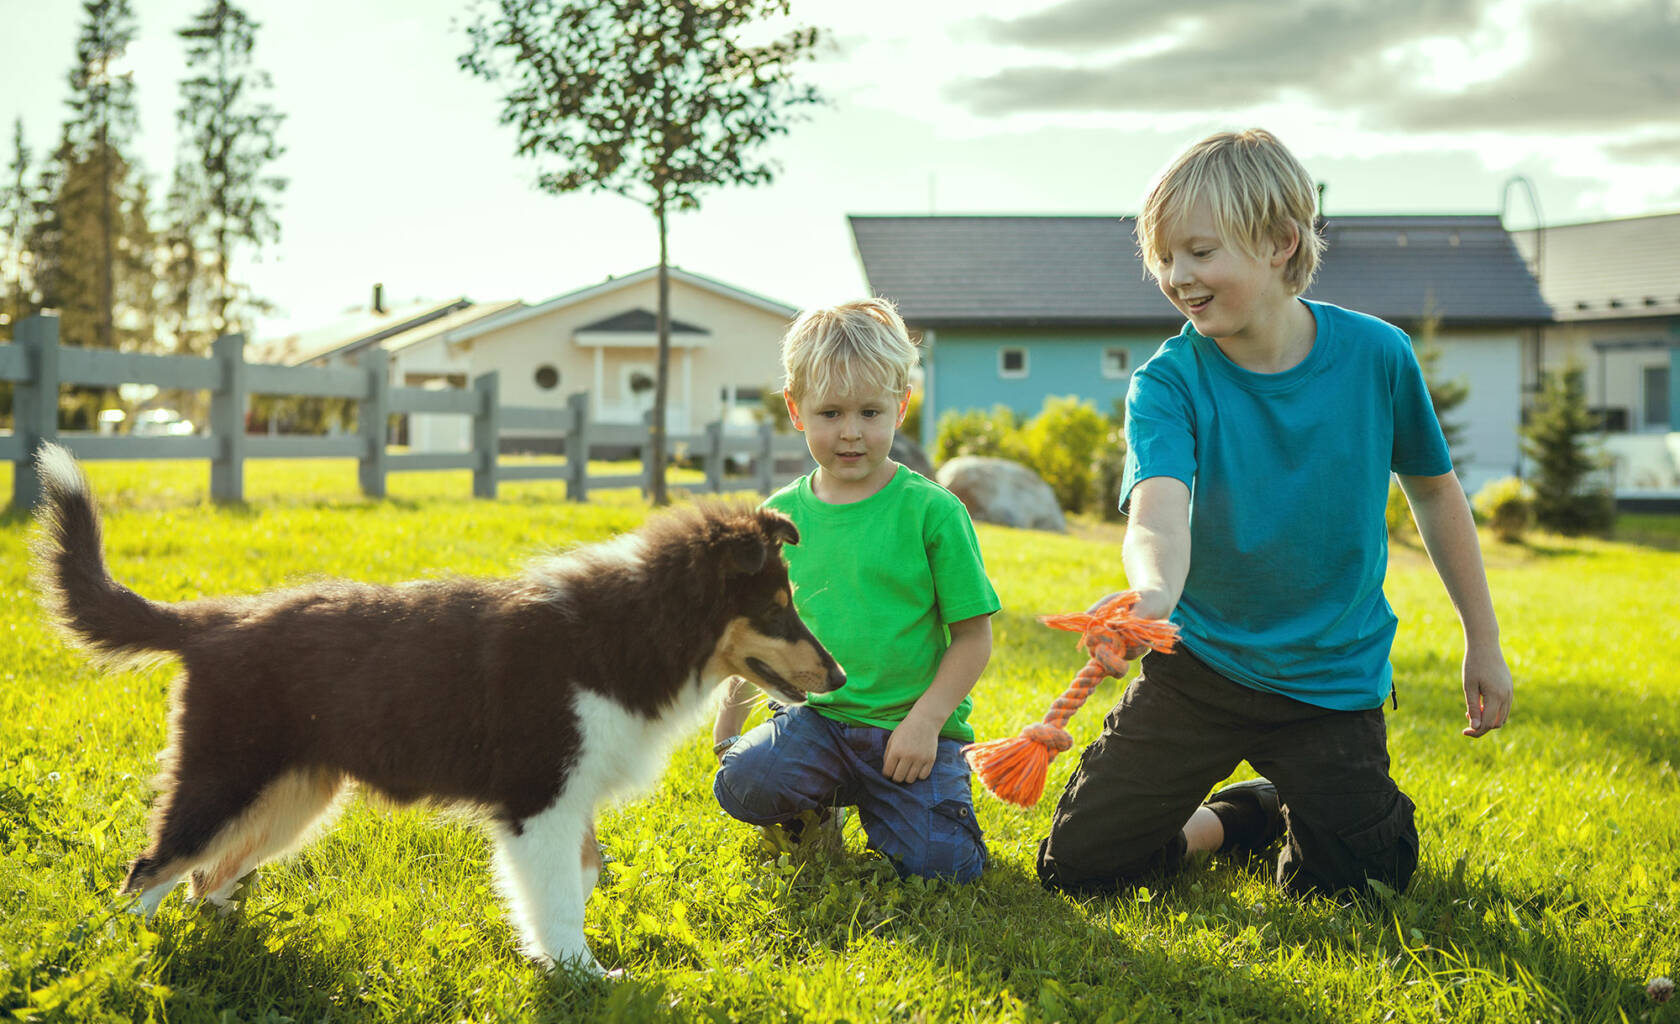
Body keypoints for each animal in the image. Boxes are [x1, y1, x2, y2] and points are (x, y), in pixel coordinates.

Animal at [26, 443, 840, 966]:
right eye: (777, 610)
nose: (837, 677)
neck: (635, 627)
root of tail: (212, 620)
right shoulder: (539, 799)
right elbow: (557, 895)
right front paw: (584, 975)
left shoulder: (571, 800)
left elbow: (582, 877)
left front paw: (558, 962)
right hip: (224, 776)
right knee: (149, 868)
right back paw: (118, 957)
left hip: (295, 795)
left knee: (203, 876)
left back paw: (228, 934)